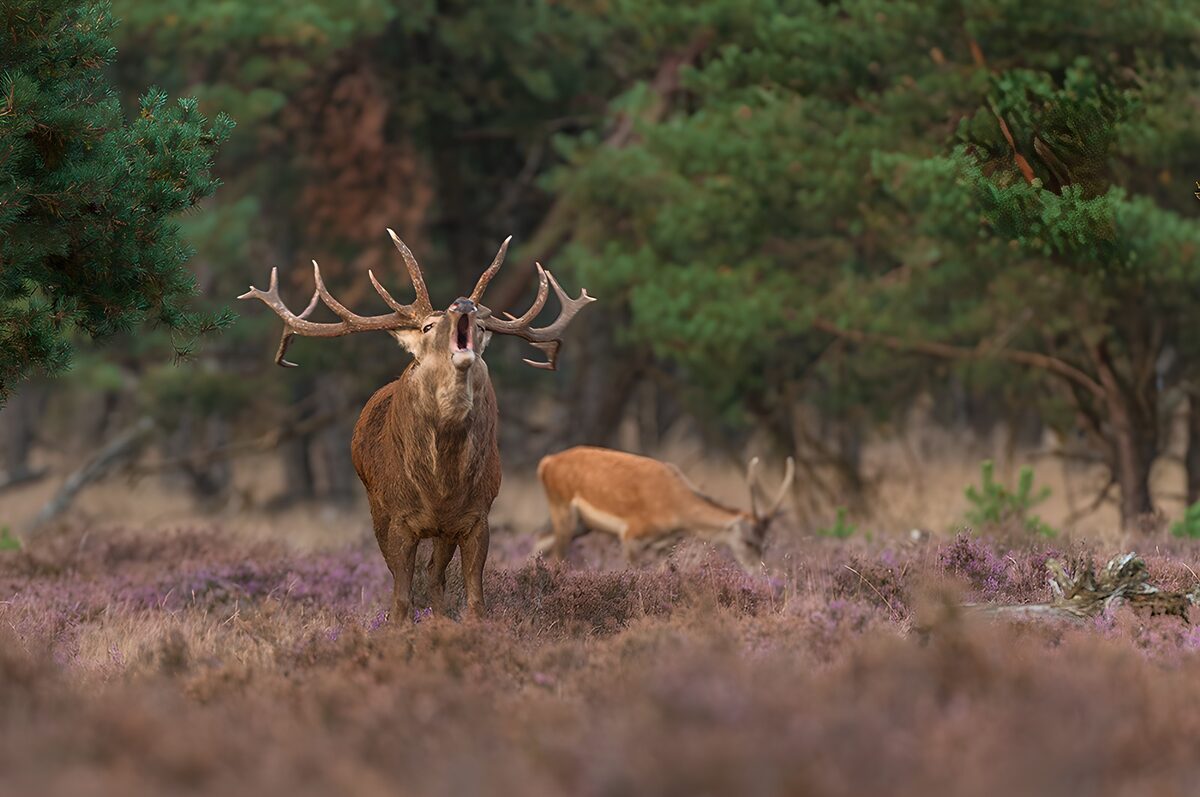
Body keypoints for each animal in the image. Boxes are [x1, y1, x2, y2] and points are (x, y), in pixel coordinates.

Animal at [240, 229, 594, 622]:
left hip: (443, 532)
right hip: (376, 506)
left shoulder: (476, 517)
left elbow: (475, 599)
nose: (464, 304)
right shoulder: (398, 517)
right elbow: (400, 597)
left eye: (483, 327)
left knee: (434, 574)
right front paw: (401, 628)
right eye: (427, 326)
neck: (441, 486)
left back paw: (439, 619)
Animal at [534, 446, 794, 574]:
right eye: (749, 542)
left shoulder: (665, 546)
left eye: (765, 544)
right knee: (557, 556)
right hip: (562, 509)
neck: (674, 511)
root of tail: (545, 463)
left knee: (540, 542)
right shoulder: (631, 533)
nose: (759, 574)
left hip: (581, 524)